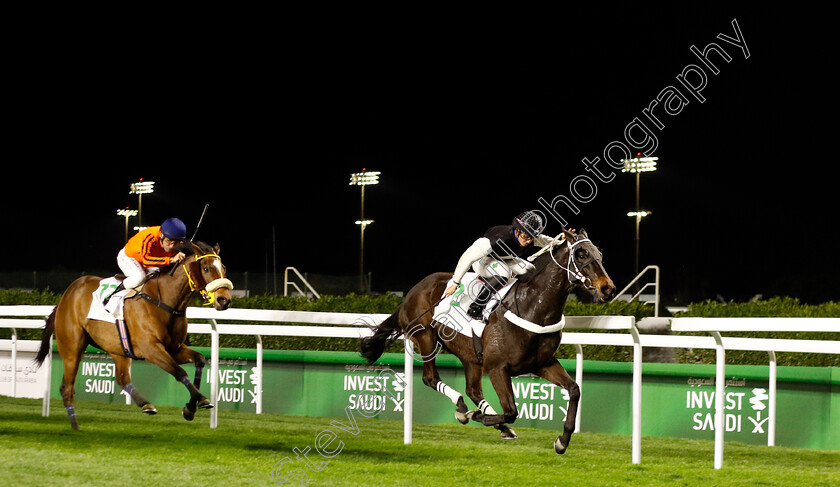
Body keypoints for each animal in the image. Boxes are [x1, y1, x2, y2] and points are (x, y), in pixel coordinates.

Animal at [33, 241, 233, 430]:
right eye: (206, 268)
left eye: (223, 268)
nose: (224, 300)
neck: (164, 301)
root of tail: (66, 295)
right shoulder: (151, 349)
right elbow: (180, 372)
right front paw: (200, 401)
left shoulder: (174, 348)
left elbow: (199, 360)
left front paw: (191, 407)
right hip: (72, 348)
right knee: (67, 387)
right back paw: (75, 427)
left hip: (118, 348)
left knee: (122, 378)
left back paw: (145, 405)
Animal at [358, 229, 612, 454]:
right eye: (580, 254)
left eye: (599, 253)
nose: (607, 288)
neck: (532, 307)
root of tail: (413, 291)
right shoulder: (498, 368)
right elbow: (511, 410)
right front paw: (476, 415)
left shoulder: (543, 363)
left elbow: (574, 390)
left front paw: (563, 440)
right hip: (425, 337)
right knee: (431, 378)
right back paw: (463, 408)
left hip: (470, 356)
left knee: (473, 391)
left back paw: (489, 420)